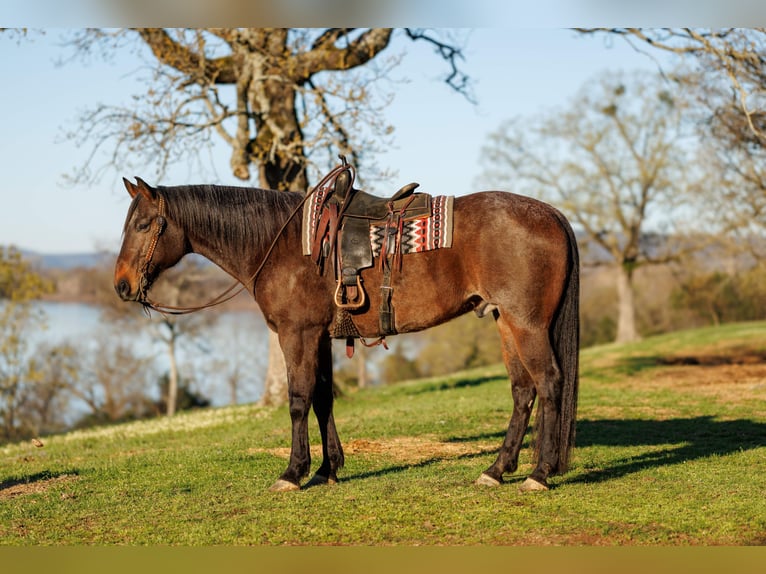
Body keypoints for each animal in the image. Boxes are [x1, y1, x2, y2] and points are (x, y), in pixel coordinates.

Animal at [114, 169, 580, 493]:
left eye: (143, 226)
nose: (121, 285)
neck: (282, 244)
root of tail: (552, 214)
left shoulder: (297, 334)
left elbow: (298, 400)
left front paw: (293, 472)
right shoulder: (319, 337)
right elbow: (323, 400)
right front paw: (327, 469)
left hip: (526, 324)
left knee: (549, 383)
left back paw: (540, 472)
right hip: (506, 322)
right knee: (523, 391)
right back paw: (497, 470)